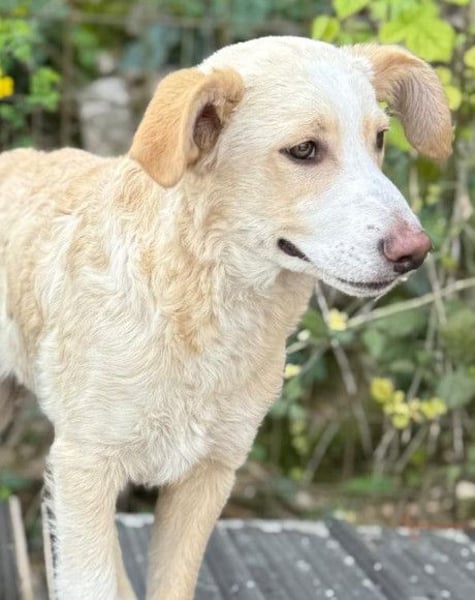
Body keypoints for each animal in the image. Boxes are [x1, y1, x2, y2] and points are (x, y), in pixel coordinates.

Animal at [0, 36, 451, 600]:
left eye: (381, 139)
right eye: (304, 150)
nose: (416, 252)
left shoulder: (208, 474)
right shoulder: (85, 468)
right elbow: (93, 581)